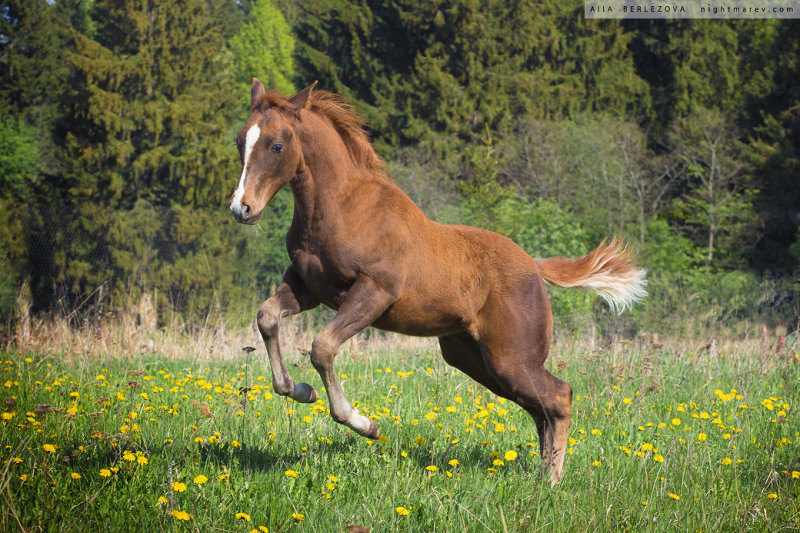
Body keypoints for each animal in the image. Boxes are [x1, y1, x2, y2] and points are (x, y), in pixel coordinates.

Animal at [228, 80, 648, 486]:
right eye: (240, 140)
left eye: (277, 145)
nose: (241, 208)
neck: (343, 209)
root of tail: (534, 265)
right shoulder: (308, 286)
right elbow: (267, 317)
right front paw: (299, 390)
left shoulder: (373, 293)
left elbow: (323, 347)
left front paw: (365, 424)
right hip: (475, 358)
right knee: (540, 407)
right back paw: (544, 474)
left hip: (512, 358)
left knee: (559, 396)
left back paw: (552, 481)